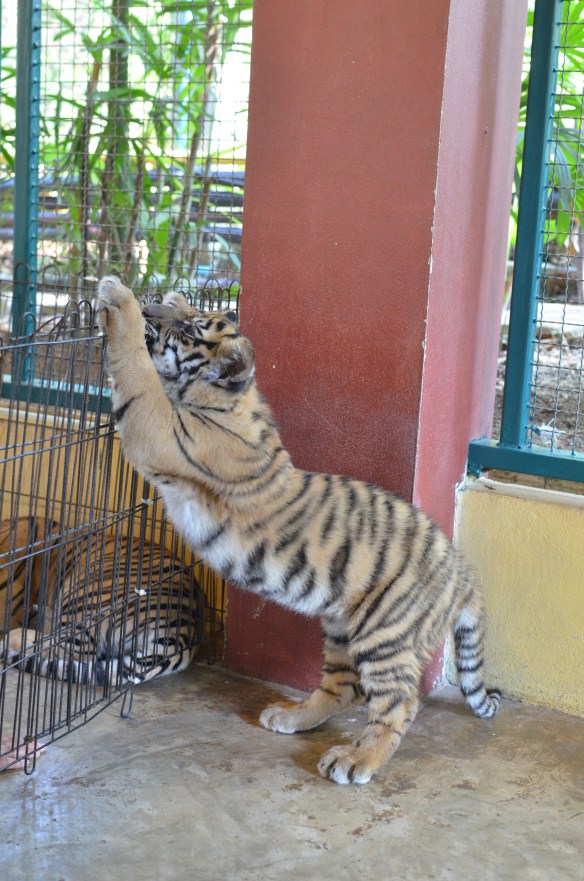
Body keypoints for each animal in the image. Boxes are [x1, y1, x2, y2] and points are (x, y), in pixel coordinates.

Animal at [96, 275, 501, 785]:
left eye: (188, 330)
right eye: (180, 315)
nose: (154, 307)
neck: (224, 397)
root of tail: (462, 571)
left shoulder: (157, 427)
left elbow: (136, 368)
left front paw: (118, 299)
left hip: (385, 633)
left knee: (398, 702)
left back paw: (357, 760)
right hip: (342, 624)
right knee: (343, 687)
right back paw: (291, 717)